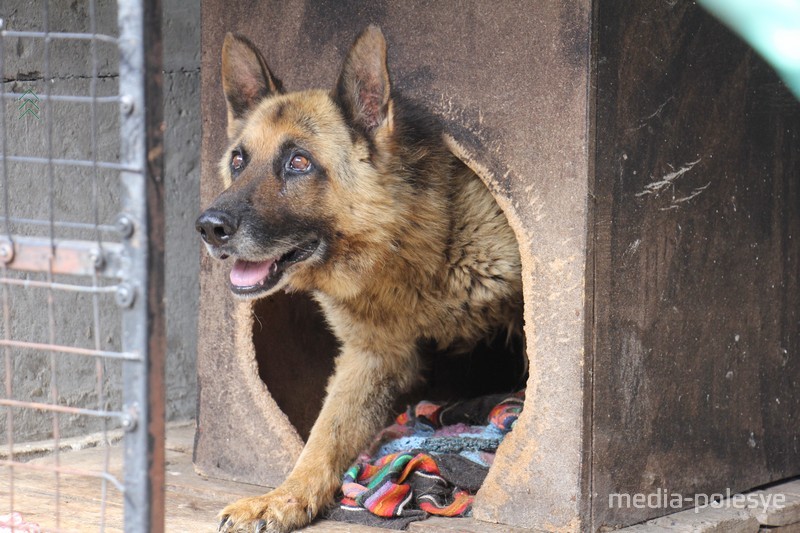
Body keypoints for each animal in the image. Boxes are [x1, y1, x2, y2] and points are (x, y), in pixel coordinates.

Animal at [198, 25, 524, 532]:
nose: (208, 227)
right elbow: (324, 437)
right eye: (238, 161)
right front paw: (286, 497)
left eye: (298, 162)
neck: (406, 249)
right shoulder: (369, 358)